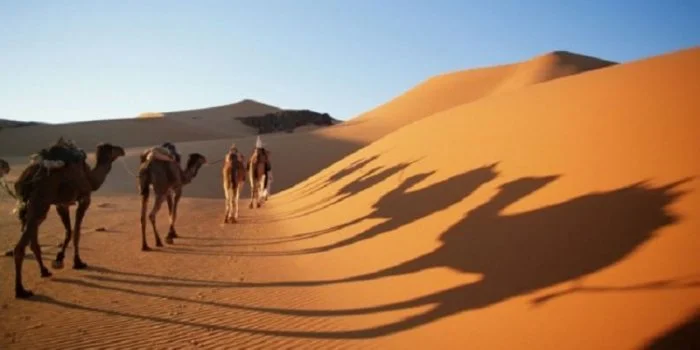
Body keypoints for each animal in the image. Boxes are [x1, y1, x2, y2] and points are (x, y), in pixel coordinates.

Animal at [11, 137, 126, 298]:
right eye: (111, 148)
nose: (122, 150)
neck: (90, 178)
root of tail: (28, 177)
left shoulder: (61, 204)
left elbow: (68, 231)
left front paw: (59, 259)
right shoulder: (85, 198)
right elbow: (76, 232)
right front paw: (78, 262)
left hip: (34, 206)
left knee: (33, 239)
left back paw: (44, 271)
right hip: (41, 201)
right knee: (21, 246)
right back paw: (21, 290)